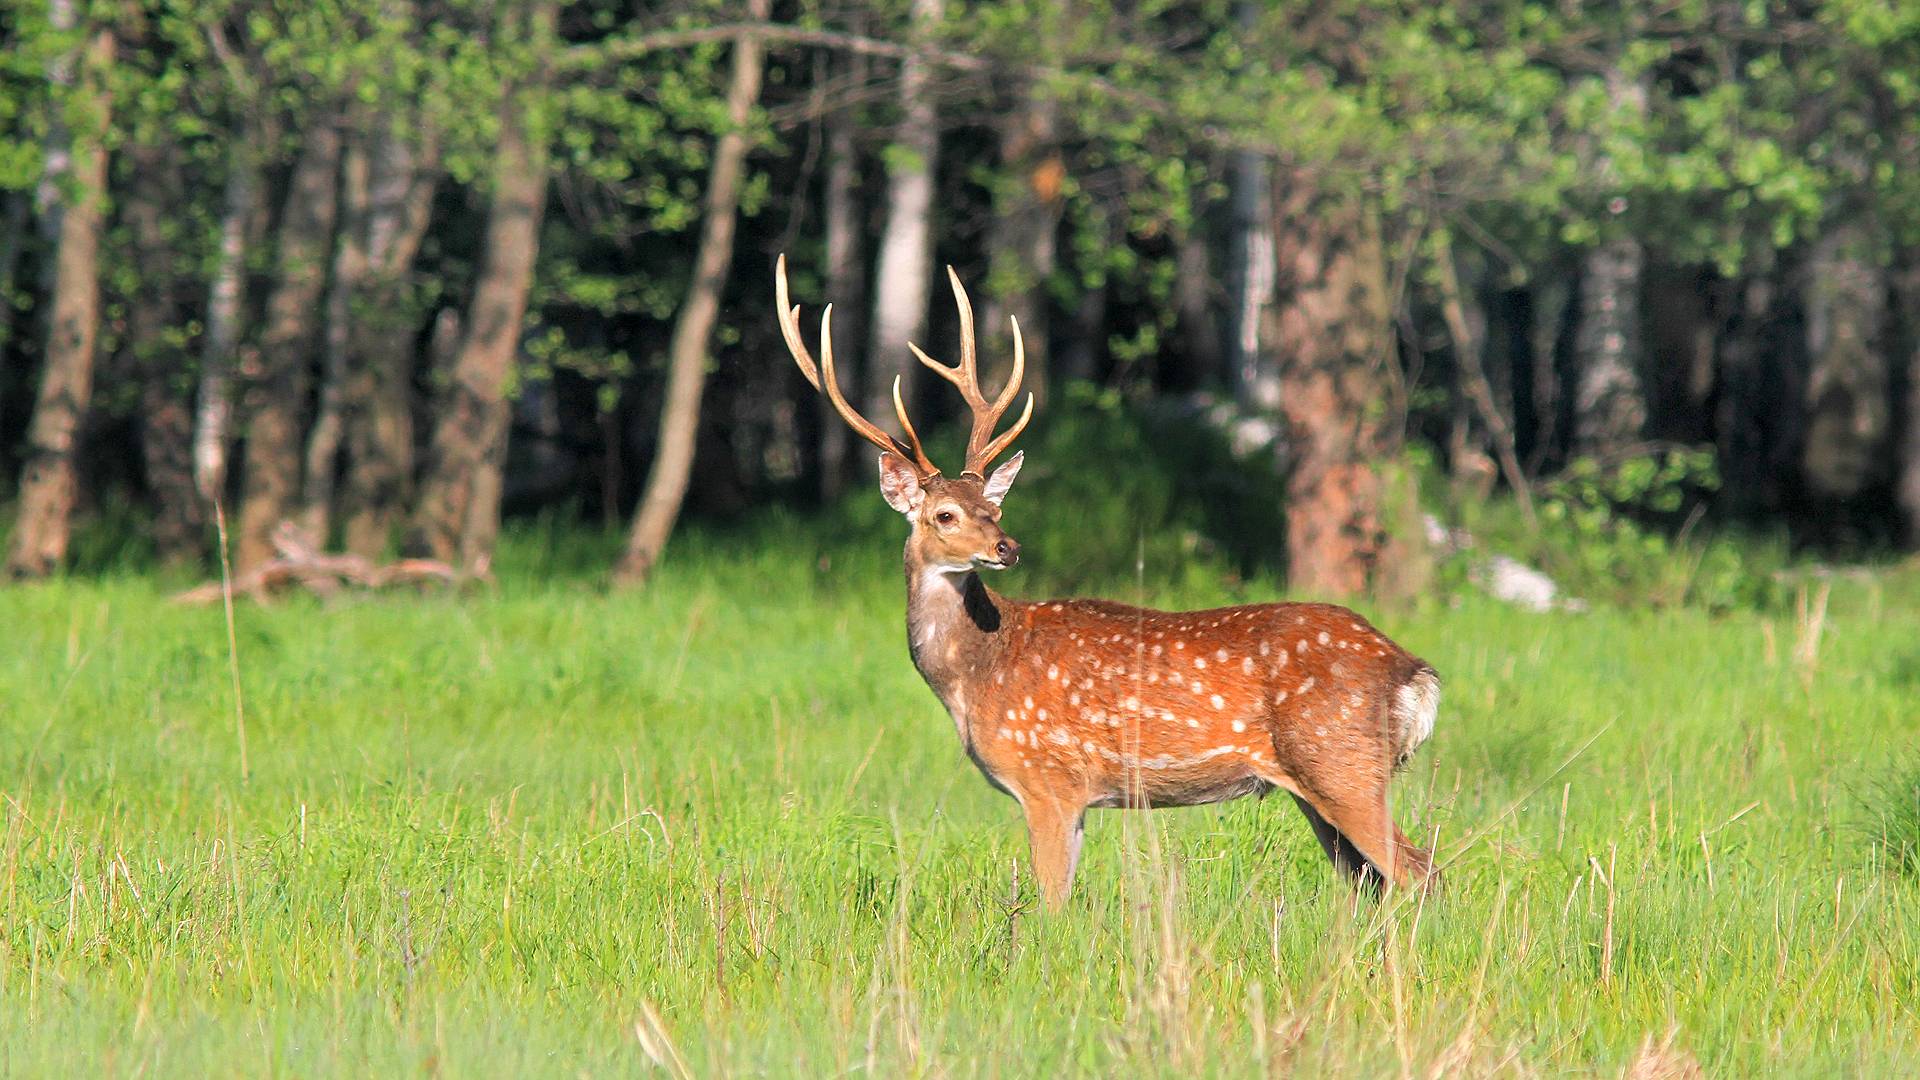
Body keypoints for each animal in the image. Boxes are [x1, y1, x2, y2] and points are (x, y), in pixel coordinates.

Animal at [771, 255, 1436, 903]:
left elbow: (1049, 903)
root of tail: (1413, 671)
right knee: (1370, 883)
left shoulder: (1047, 776)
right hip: (1319, 783)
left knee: (1419, 871)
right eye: (947, 514)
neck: (974, 676)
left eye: (994, 509)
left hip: (1341, 760)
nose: (1007, 548)